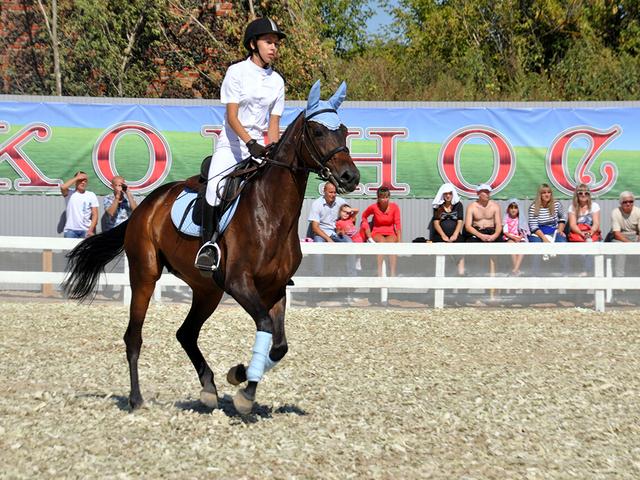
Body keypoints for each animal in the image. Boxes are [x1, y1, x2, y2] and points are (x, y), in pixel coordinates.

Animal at [62, 80, 360, 414]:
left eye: (343, 131)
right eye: (318, 132)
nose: (350, 177)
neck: (271, 212)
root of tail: (145, 206)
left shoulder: (275, 288)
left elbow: (279, 345)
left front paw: (241, 374)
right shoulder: (240, 283)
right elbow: (265, 326)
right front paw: (245, 392)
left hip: (207, 290)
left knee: (186, 333)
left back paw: (208, 388)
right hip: (145, 276)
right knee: (134, 337)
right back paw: (136, 398)